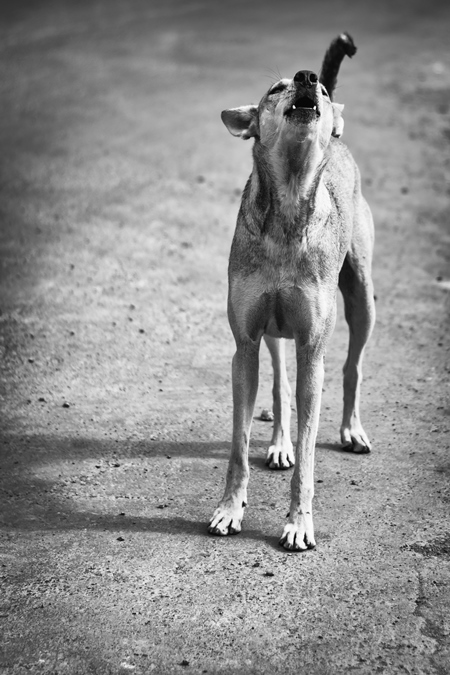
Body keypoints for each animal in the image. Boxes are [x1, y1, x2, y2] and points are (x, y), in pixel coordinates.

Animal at [209, 34, 374, 552]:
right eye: (275, 88)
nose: (308, 77)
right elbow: (239, 445)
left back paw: (351, 430)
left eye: (314, 89)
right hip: (273, 332)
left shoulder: (312, 351)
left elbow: (308, 455)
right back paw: (280, 443)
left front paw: (299, 522)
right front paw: (230, 509)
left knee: (352, 366)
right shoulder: (244, 345)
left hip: (362, 298)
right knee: (280, 387)